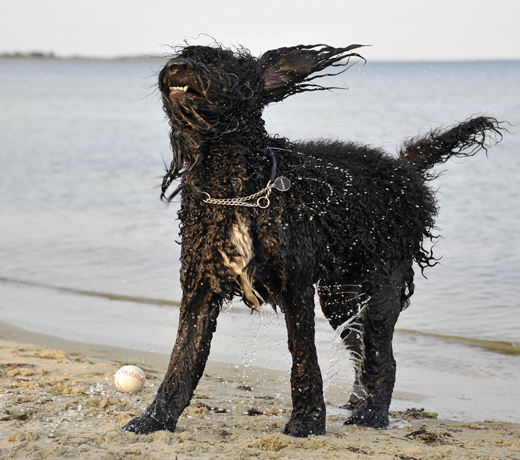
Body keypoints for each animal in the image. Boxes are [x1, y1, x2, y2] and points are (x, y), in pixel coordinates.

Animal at [124, 42, 502, 434]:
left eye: (222, 61)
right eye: (184, 54)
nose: (176, 66)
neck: (234, 187)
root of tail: (405, 168)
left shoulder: (296, 286)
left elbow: (304, 359)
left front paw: (306, 420)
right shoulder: (200, 289)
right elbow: (182, 362)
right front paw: (154, 419)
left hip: (383, 285)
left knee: (382, 354)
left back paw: (372, 413)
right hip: (339, 297)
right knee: (360, 345)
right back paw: (357, 401)